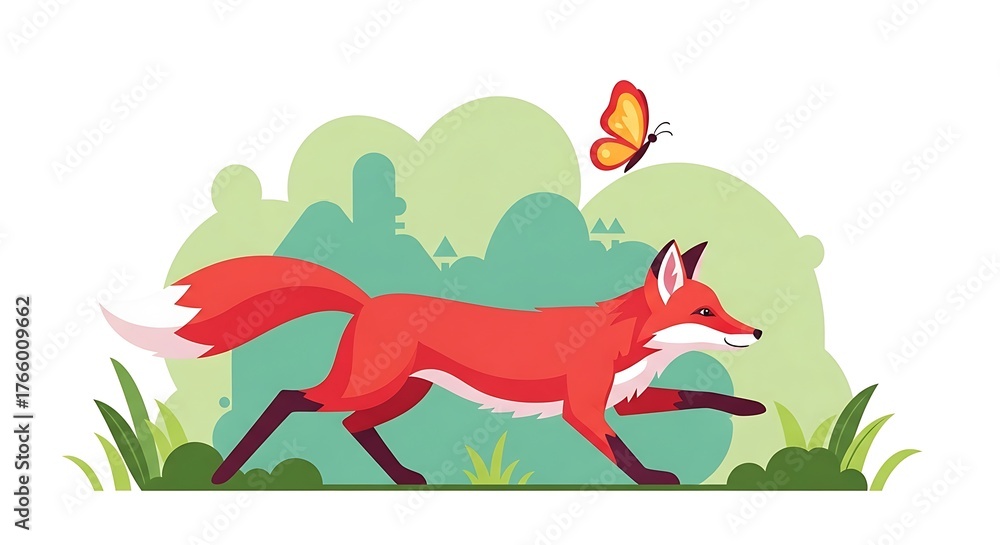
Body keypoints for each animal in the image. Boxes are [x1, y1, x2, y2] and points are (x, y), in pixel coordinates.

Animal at [102, 239, 765, 485]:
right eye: (705, 311)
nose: (757, 330)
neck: (624, 343)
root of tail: (370, 300)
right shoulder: (583, 407)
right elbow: (619, 449)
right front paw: (651, 478)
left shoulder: (627, 398)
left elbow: (699, 398)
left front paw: (750, 406)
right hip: (367, 386)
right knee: (291, 398)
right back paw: (224, 473)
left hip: (401, 393)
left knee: (353, 425)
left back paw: (402, 476)